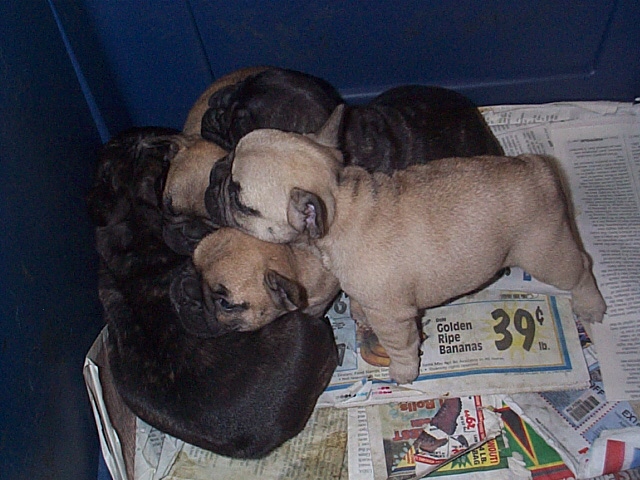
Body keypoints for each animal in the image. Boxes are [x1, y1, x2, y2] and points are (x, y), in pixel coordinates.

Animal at [205, 107, 604, 384]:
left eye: (240, 200)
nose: (215, 172)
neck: (342, 206)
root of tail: (537, 166)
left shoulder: (392, 316)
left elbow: (400, 345)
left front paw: (403, 373)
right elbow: (361, 308)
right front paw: (358, 317)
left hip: (546, 252)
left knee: (582, 268)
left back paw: (591, 305)